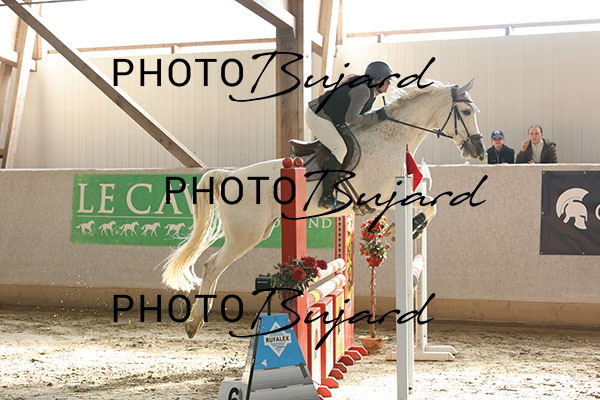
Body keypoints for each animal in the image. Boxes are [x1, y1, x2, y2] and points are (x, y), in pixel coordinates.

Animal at [162, 80, 485, 339]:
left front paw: (405, 227)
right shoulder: (384, 193)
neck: (390, 139)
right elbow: (428, 205)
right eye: (467, 113)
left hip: (256, 231)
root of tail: (228, 175)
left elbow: (430, 203)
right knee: (211, 265)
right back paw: (194, 322)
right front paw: (404, 227)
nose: (478, 151)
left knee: (211, 265)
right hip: (246, 235)